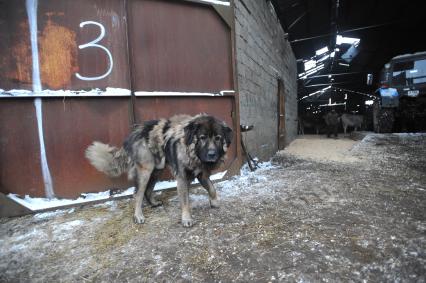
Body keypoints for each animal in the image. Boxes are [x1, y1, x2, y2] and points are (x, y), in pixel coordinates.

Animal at [85, 114, 233, 227]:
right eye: (202, 138)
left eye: (218, 138)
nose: (212, 154)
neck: (191, 152)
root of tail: (136, 132)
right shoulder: (182, 178)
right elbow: (185, 200)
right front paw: (186, 218)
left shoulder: (202, 175)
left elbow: (212, 188)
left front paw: (214, 202)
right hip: (146, 171)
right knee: (138, 194)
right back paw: (138, 216)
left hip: (157, 169)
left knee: (148, 190)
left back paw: (154, 203)